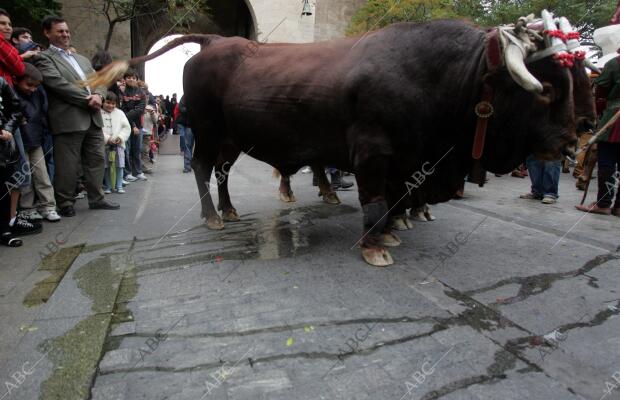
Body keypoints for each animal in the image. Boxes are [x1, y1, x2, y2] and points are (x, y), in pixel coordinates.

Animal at [93, 20, 596, 268]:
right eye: (547, 88)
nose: (572, 140)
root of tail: (216, 41)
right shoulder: (374, 154)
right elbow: (377, 199)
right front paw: (375, 245)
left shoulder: (409, 161)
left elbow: (396, 198)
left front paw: (392, 229)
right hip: (207, 129)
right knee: (200, 168)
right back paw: (213, 218)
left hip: (233, 138)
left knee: (221, 172)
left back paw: (230, 210)